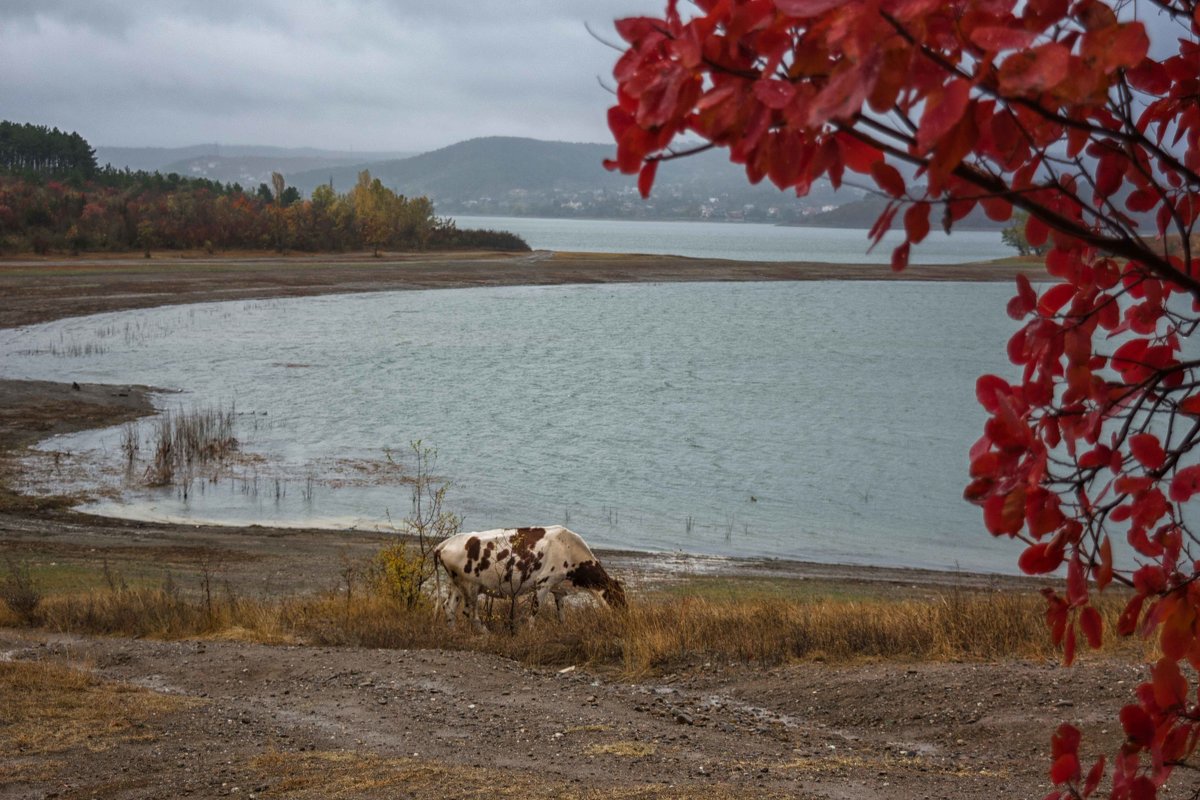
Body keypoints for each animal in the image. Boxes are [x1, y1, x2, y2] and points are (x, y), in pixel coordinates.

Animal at [436, 525, 633, 633]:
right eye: (619, 598)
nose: (626, 616)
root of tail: (444, 543)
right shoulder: (543, 583)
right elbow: (534, 612)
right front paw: (531, 632)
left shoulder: (558, 588)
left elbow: (561, 615)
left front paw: (563, 629)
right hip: (470, 586)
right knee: (470, 613)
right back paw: (486, 633)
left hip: (456, 584)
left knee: (449, 607)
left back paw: (453, 633)